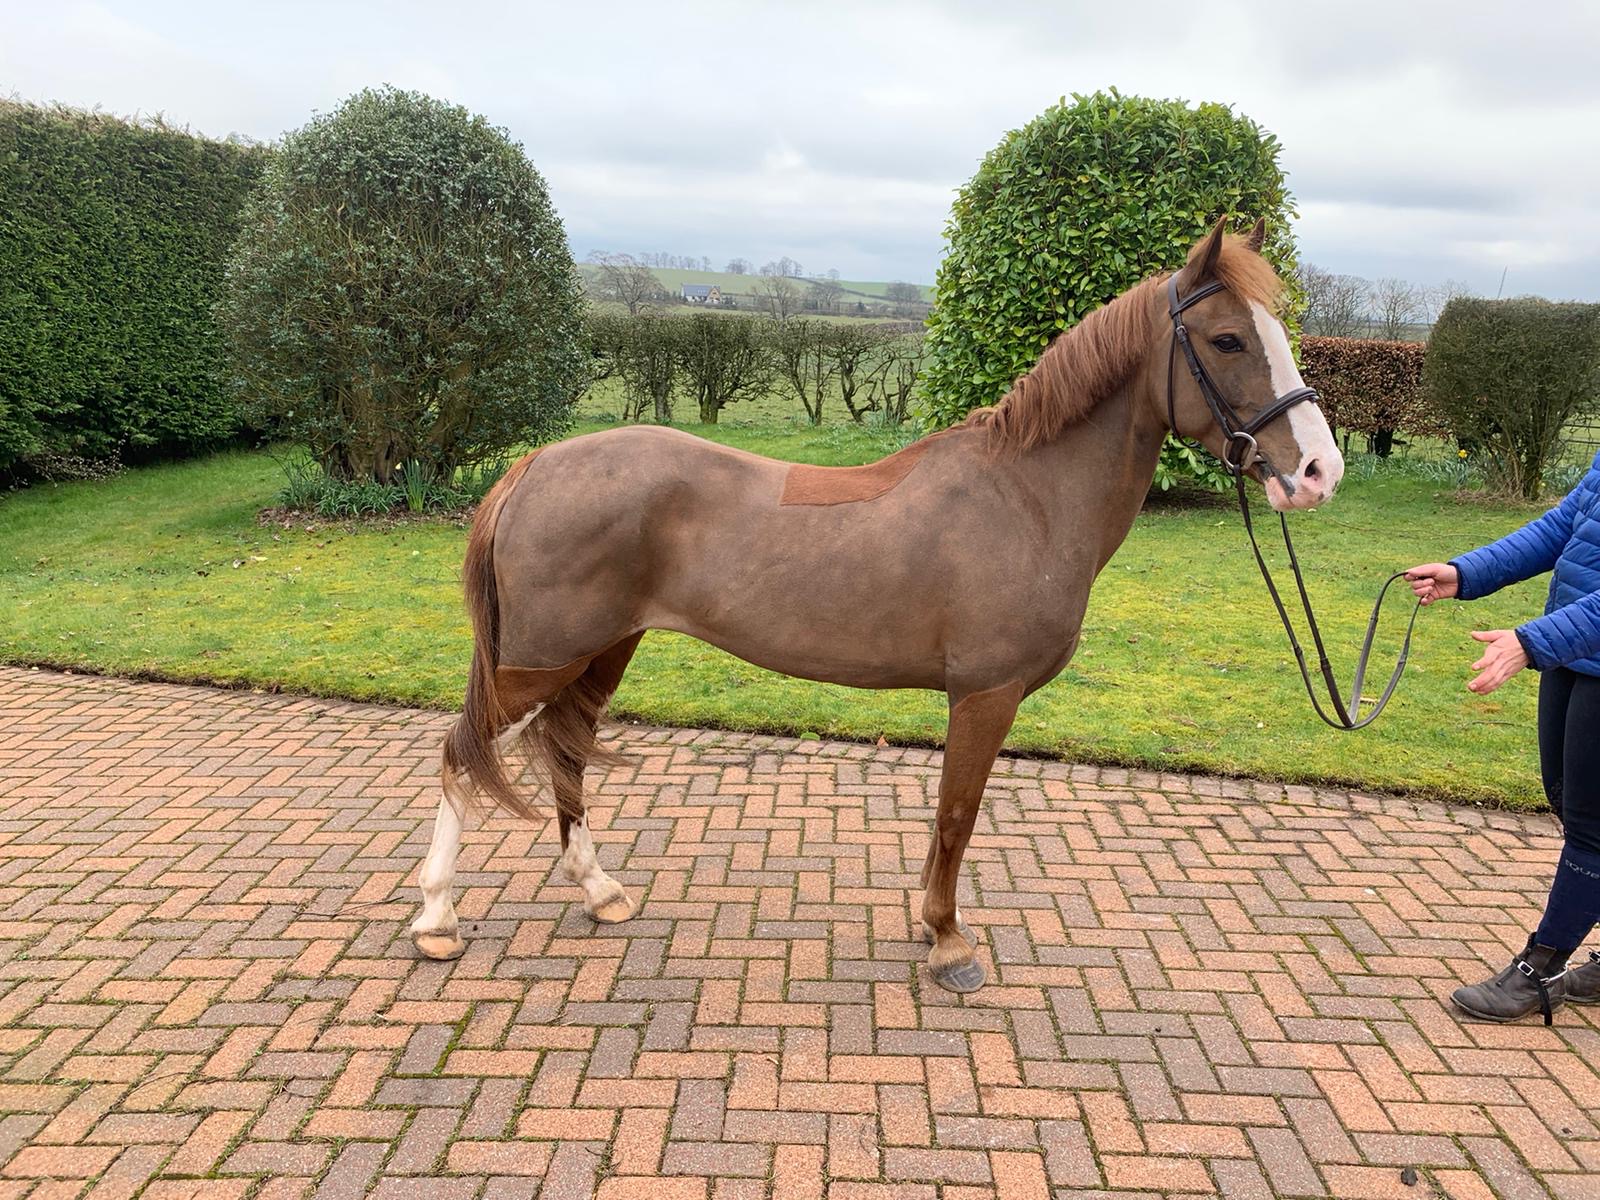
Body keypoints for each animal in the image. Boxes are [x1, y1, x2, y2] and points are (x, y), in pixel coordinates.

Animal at [409, 219, 1344, 994]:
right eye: (1227, 338)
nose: (1317, 472)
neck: (1026, 496)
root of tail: (535, 465)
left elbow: (948, 819)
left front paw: (930, 926)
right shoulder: (986, 695)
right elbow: (957, 818)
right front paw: (948, 941)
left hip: (603, 650)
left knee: (565, 755)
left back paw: (599, 890)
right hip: (537, 663)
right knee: (462, 756)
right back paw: (436, 920)